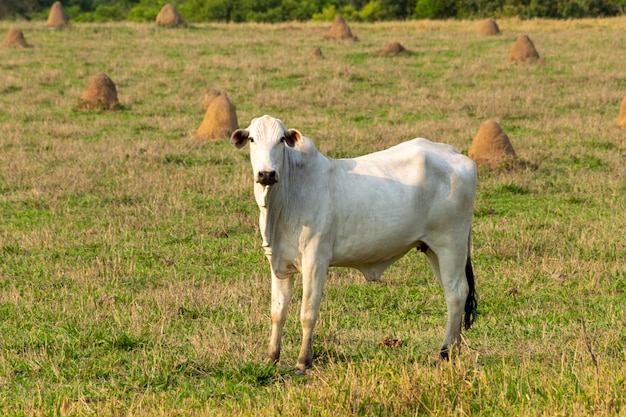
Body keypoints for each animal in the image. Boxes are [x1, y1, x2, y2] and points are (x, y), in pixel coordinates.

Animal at [232, 115, 476, 372]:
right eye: (252, 139)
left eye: (281, 139)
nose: (266, 174)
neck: (286, 197)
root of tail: (456, 154)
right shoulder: (279, 264)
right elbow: (278, 312)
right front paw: (271, 357)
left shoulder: (315, 260)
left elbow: (308, 312)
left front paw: (303, 361)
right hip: (433, 250)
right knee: (452, 293)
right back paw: (454, 349)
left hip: (451, 245)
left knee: (457, 293)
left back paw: (445, 352)